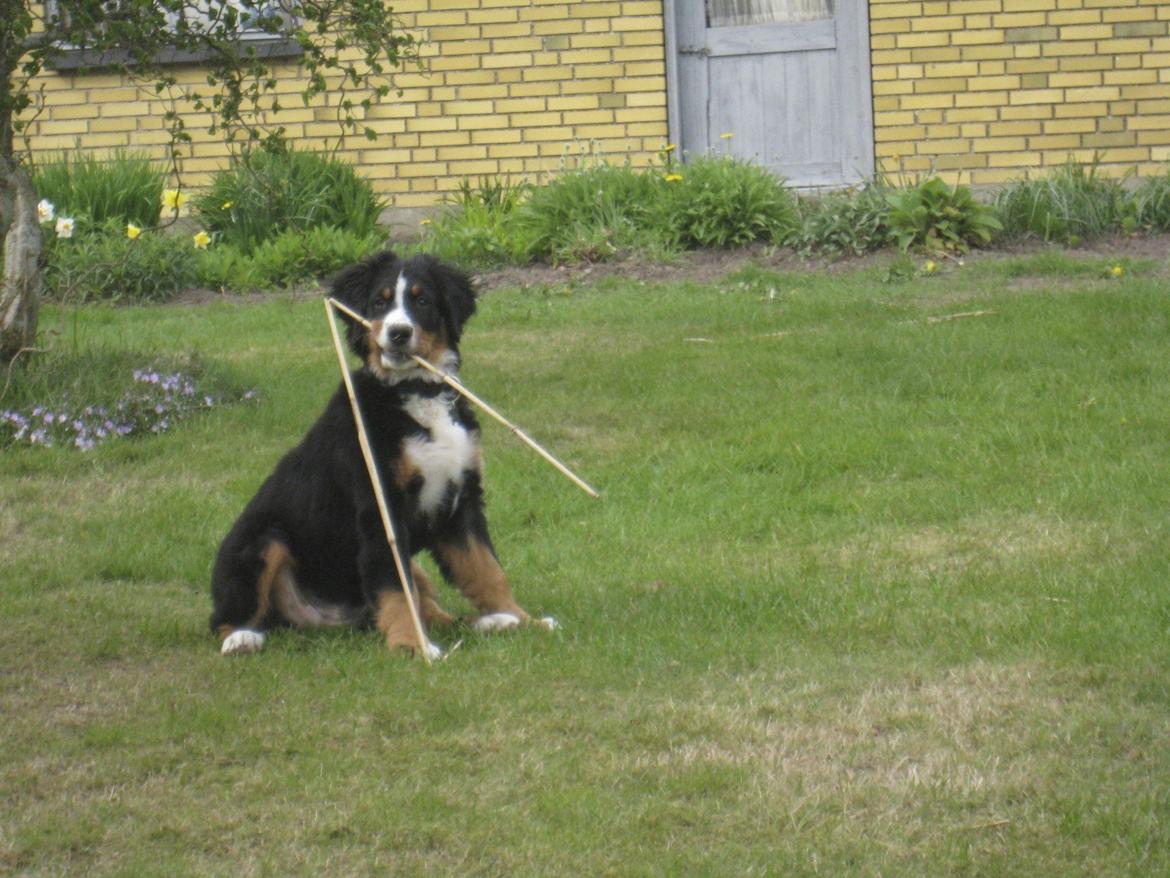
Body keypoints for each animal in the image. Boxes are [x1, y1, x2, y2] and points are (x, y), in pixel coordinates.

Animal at [208, 250, 545, 655]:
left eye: (422, 300)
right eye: (379, 303)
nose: (399, 333)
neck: (416, 392)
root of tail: (330, 620)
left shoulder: (461, 499)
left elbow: (487, 570)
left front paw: (525, 620)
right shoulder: (380, 508)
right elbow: (396, 588)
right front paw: (412, 647)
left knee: (430, 607)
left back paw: (494, 623)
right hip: (262, 541)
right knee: (226, 615)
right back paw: (242, 637)